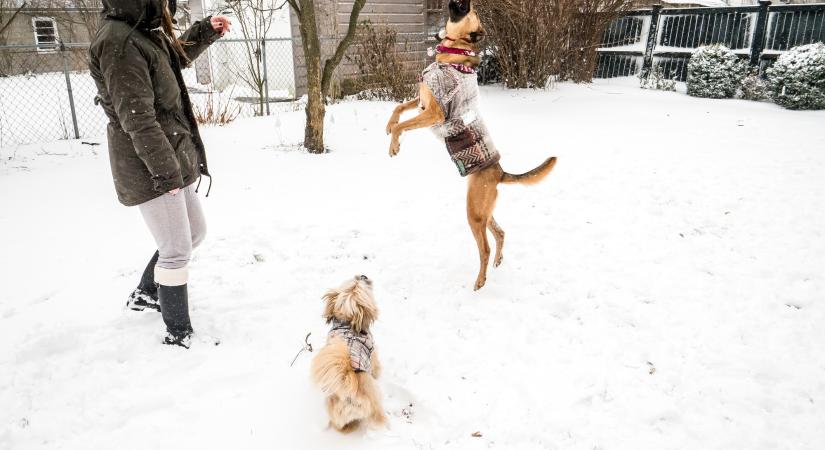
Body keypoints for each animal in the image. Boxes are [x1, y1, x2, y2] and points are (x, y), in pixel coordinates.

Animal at [308, 274, 386, 432]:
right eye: (358, 284)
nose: (362, 275)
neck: (346, 322)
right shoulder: (372, 353)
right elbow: (376, 366)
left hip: (337, 415)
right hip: (375, 403)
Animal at [384, 0, 552, 290]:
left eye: (469, 10)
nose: (463, 1)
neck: (452, 52)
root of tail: (500, 171)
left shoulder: (434, 113)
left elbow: (401, 125)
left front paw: (394, 145)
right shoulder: (421, 101)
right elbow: (398, 110)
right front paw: (388, 127)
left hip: (474, 213)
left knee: (484, 247)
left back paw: (481, 280)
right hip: (483, 211)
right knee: (500, 233)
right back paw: (497, 262)